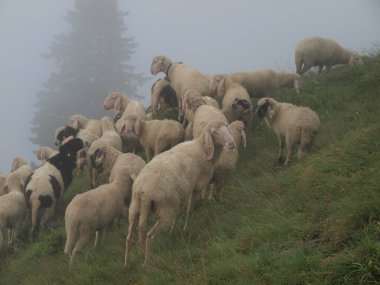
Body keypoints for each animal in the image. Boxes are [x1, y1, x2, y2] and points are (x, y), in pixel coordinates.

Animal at [124, 119, 236, 264]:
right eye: (215, 132)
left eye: (226, 127)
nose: (232, 143)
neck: (201, 147)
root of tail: (142, 190)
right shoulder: (196, 186)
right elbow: (189, 210)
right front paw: (185, 228)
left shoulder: (182, 193)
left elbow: (180, 211)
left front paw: (174, 230)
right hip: (165, 208)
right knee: (149, 235)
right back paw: (148, 261)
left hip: (135, 209)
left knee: (130, 237)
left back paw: (126, 263)